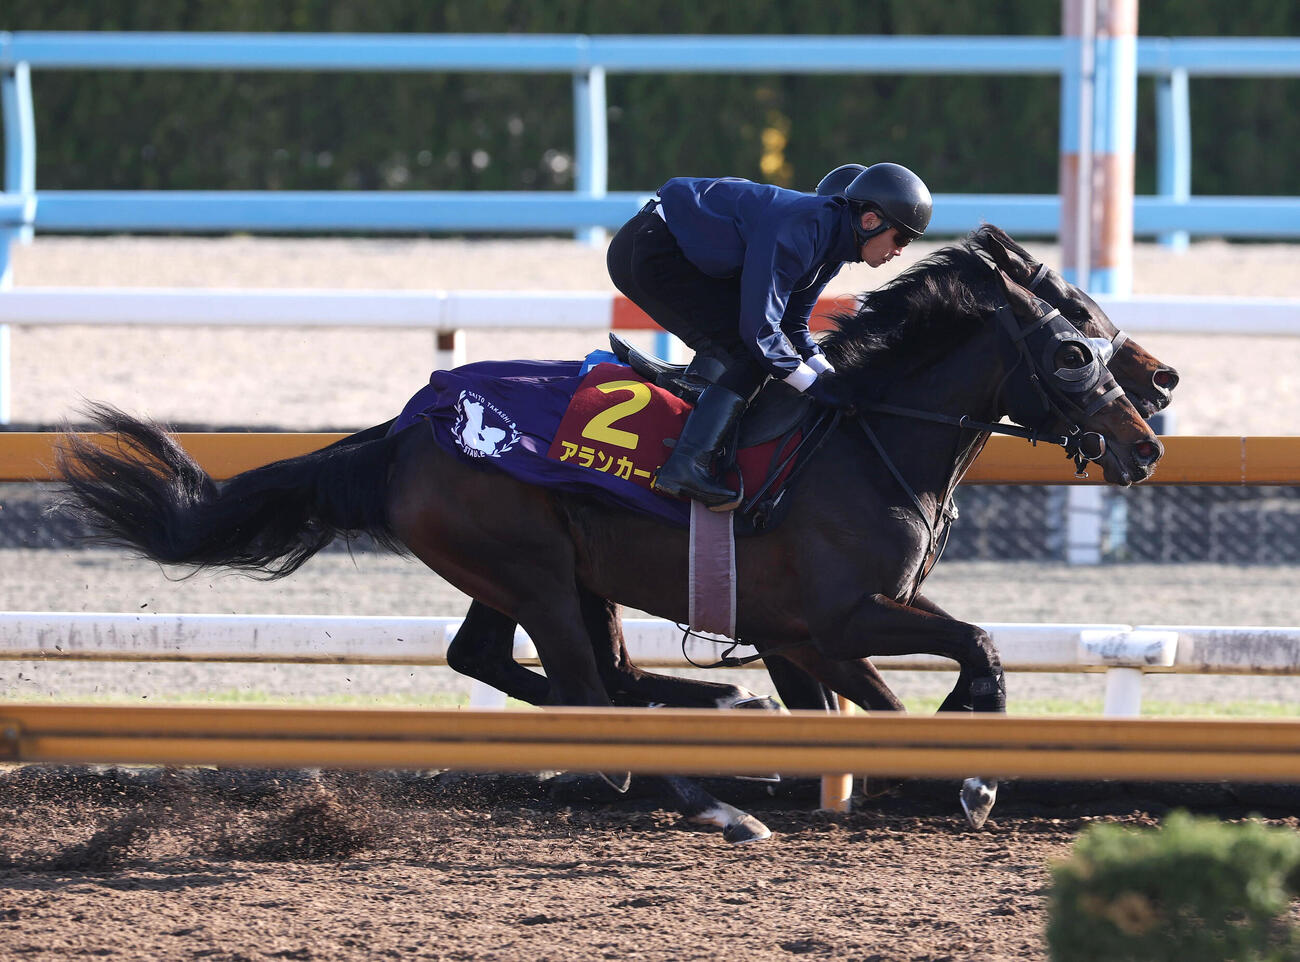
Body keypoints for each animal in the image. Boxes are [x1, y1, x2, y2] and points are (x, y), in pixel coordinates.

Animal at [55, 235, 1164, 840]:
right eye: (1074, 349)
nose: (1147, 433)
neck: (866, 436)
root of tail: (411, 422)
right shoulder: (842, 616)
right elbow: (963, 653)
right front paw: (972, 772)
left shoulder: (803, 635)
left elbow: (888, 700)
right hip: (536, 570)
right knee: (587, 687)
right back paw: (713, 792)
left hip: (538, 571)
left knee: (510, 661)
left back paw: (715, 717)